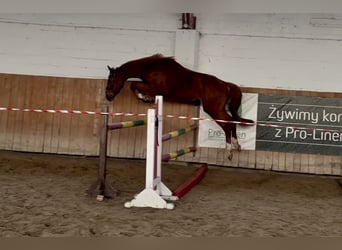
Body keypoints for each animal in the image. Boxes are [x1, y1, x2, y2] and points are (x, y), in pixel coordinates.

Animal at [106, 54, 254, 160]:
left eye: (111, 79)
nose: (108, 96)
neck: (150, 67)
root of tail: (225, 84)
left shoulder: (154, 88)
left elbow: (133, 85)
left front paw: (144, 97)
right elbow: (135, 86)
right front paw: (146, 98)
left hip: (213, 110)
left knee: (228, 123)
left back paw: (229, 150)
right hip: (216, 110)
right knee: (231, 123)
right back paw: (236, 145)